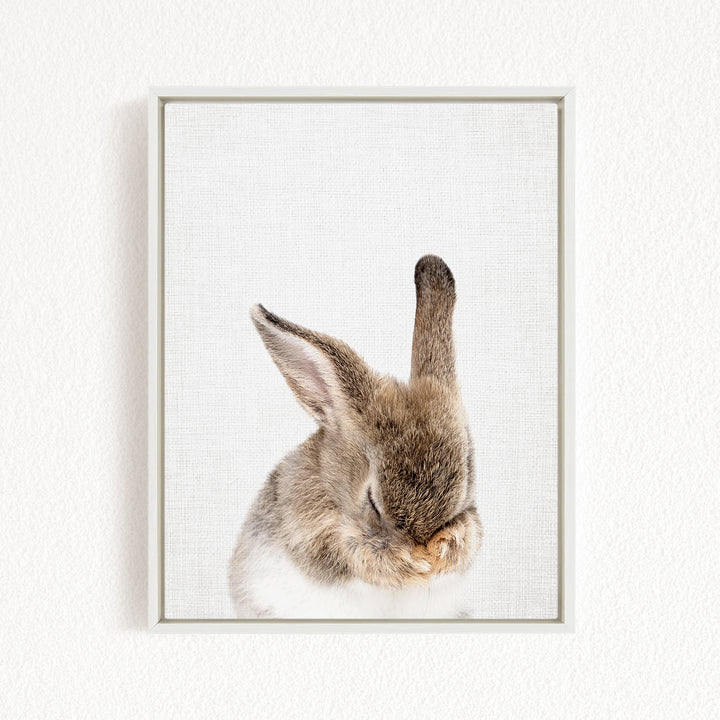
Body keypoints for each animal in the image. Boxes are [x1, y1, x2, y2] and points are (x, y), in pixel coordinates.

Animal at [228, 255, 482, 619]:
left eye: (466, 481)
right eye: (372, 500)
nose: (423, 547)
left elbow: (470, 535)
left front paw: (444, 551)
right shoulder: (317, 538)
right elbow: (355, 555)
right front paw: (411, 564)